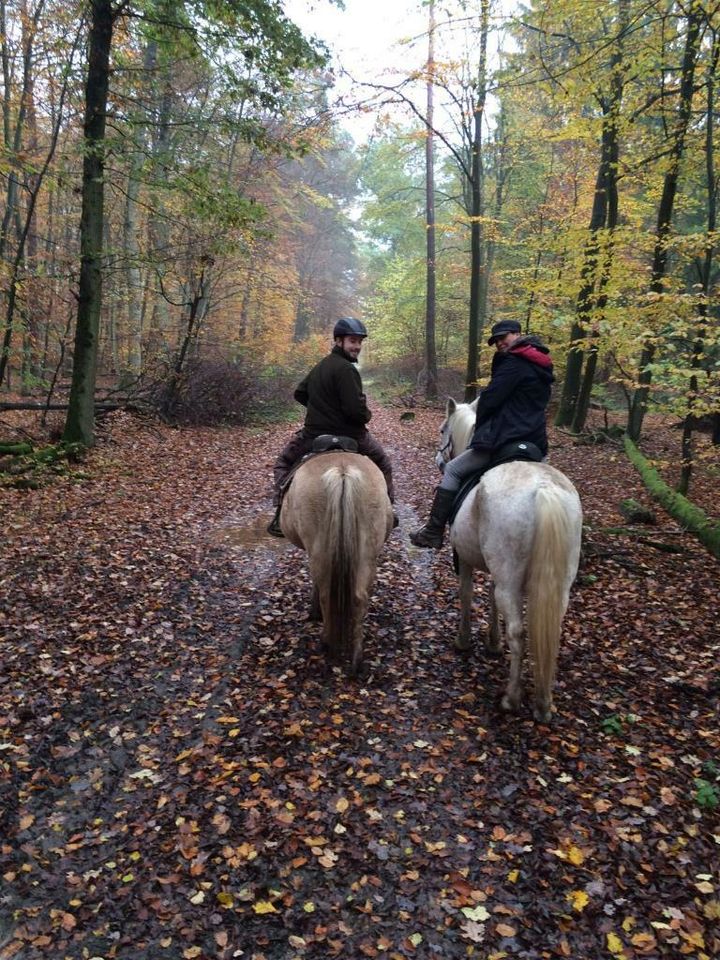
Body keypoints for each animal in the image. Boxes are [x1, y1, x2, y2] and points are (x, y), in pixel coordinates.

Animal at [436, 396, 584, 720]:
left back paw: (511, 699)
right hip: (556, 584)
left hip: (510, 580)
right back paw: (543, 703)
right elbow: (491, 599)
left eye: (443, 429)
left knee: (518, 632)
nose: (440, 462)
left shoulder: (465, 560)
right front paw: (493, 642)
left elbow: (467, 594)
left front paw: (464, 640)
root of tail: (543, 488)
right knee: (550, 631)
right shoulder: (498, 571)